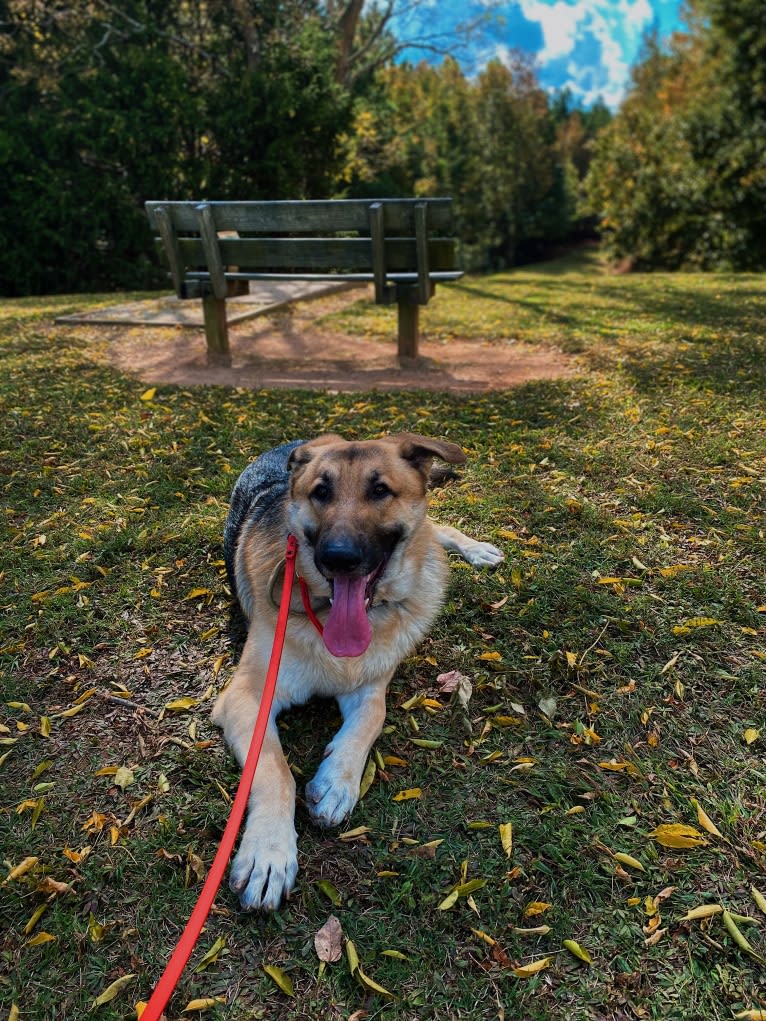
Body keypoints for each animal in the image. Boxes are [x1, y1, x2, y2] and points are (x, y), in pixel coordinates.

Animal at [214, 434, 504, 914]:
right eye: (321, 492)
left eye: (380, 491)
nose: (339, 558)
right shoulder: (248, 697)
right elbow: (275, 770)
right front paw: (268, 853)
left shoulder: (369, 688)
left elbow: (372, 721)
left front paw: (338, 781)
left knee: (436, 531)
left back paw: (476, 548)